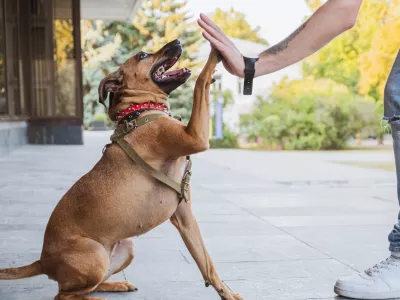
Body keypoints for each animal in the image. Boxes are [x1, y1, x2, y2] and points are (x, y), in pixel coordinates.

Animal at [0, 39, 244, 300]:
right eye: (142, 55)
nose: (177, 41)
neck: (140, 110)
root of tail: (43, 261)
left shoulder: (185, 217)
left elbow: (207, 264)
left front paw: (227, 294)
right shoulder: (195, 137)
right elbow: (200, 81)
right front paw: (216, 50)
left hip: (126, 248)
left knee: (86, 286)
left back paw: (117, 285)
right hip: (95, 255)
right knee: (64, 295)